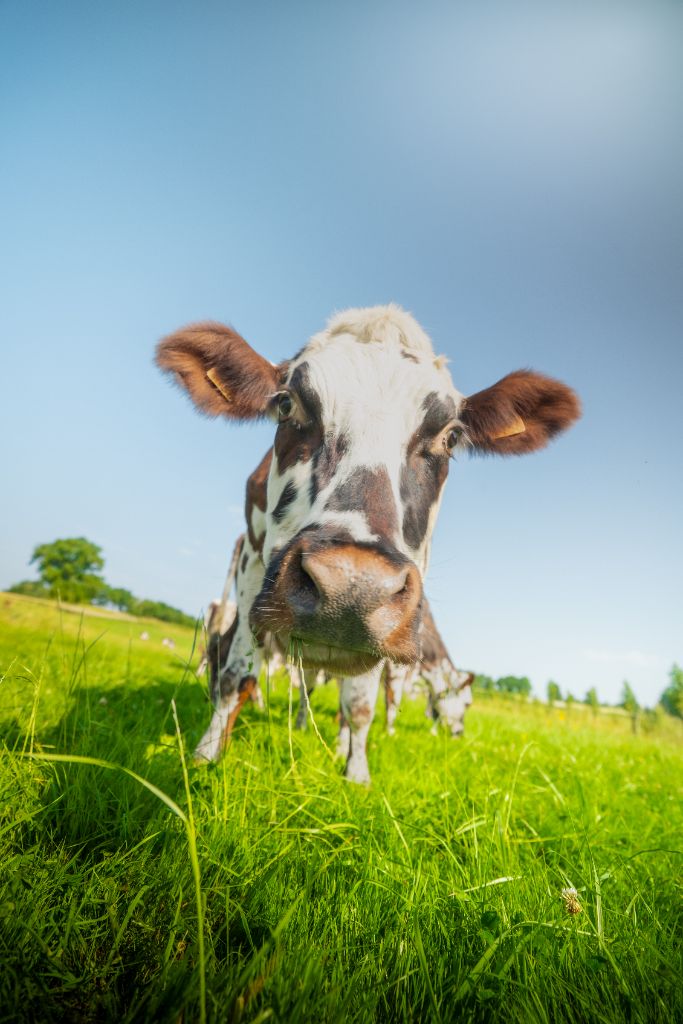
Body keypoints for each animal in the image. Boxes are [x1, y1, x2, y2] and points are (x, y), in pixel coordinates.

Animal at [156, 304, 580, 783]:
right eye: (286, 404)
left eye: (451, 436)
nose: (352, 587)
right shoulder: (253, 565)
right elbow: (235, 675)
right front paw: (205, 755)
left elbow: (359, 704)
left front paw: (356, 773)